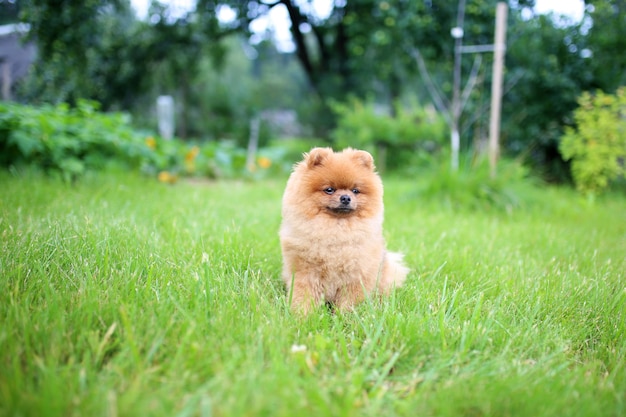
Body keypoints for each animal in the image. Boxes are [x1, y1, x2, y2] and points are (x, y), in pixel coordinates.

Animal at [280, 148, 408, 314]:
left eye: (355, 190)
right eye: (329, 190)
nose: (346, 198)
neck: (337, 230)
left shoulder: (356, 275)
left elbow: (350, 301)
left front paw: (345, 316)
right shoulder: (306, 272)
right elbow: (304, 295)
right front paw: (302, 315)